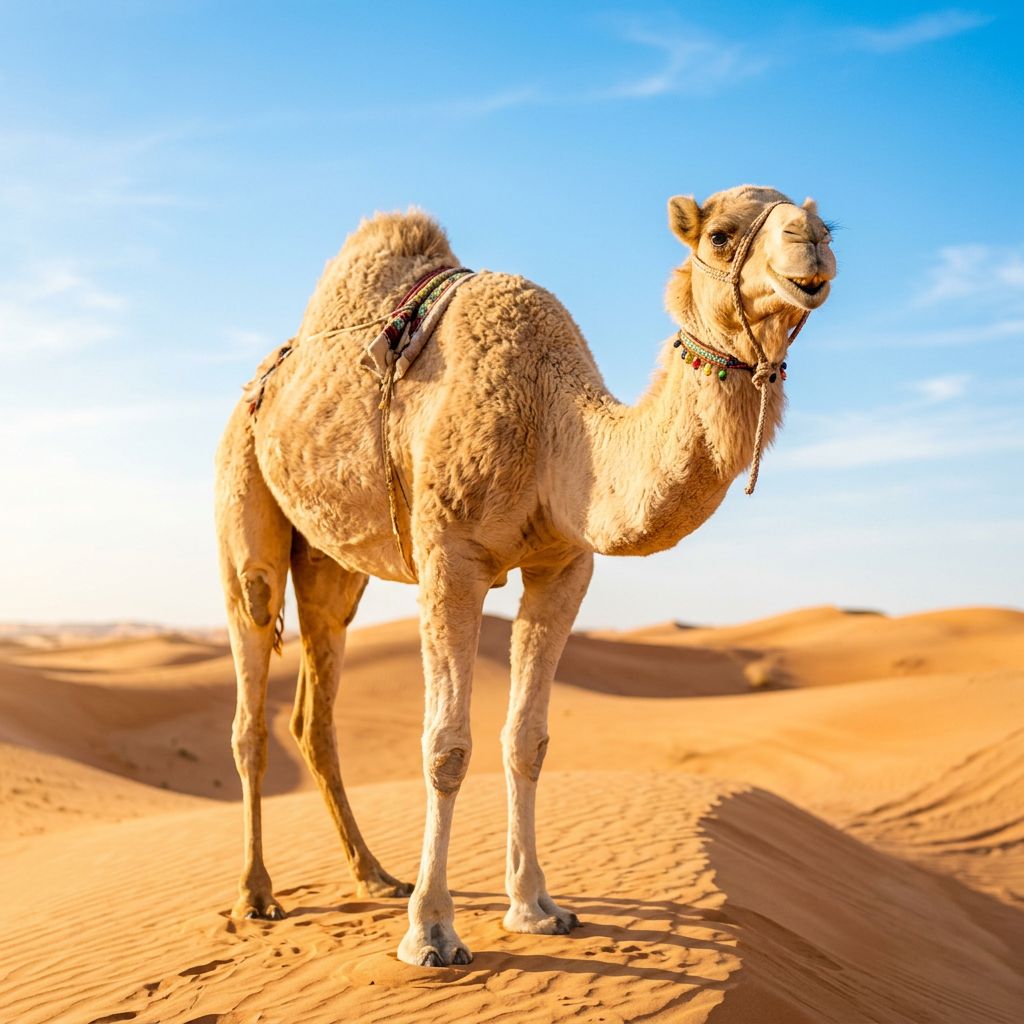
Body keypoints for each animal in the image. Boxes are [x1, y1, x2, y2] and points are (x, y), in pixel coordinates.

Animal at [214, 184, 836, 968]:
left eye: (825, 221)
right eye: (721, 235)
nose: (811, 241)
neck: (554, 426)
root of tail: (263, 375)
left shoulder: (562, 568)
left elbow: (527, 739)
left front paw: (536, 906)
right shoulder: (449, 558)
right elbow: (446, 746)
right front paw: (432, 933)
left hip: (331, 565)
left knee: (314, 708)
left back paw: (375, 875)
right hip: (244, 492)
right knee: (251, 677)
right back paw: (256, 894)